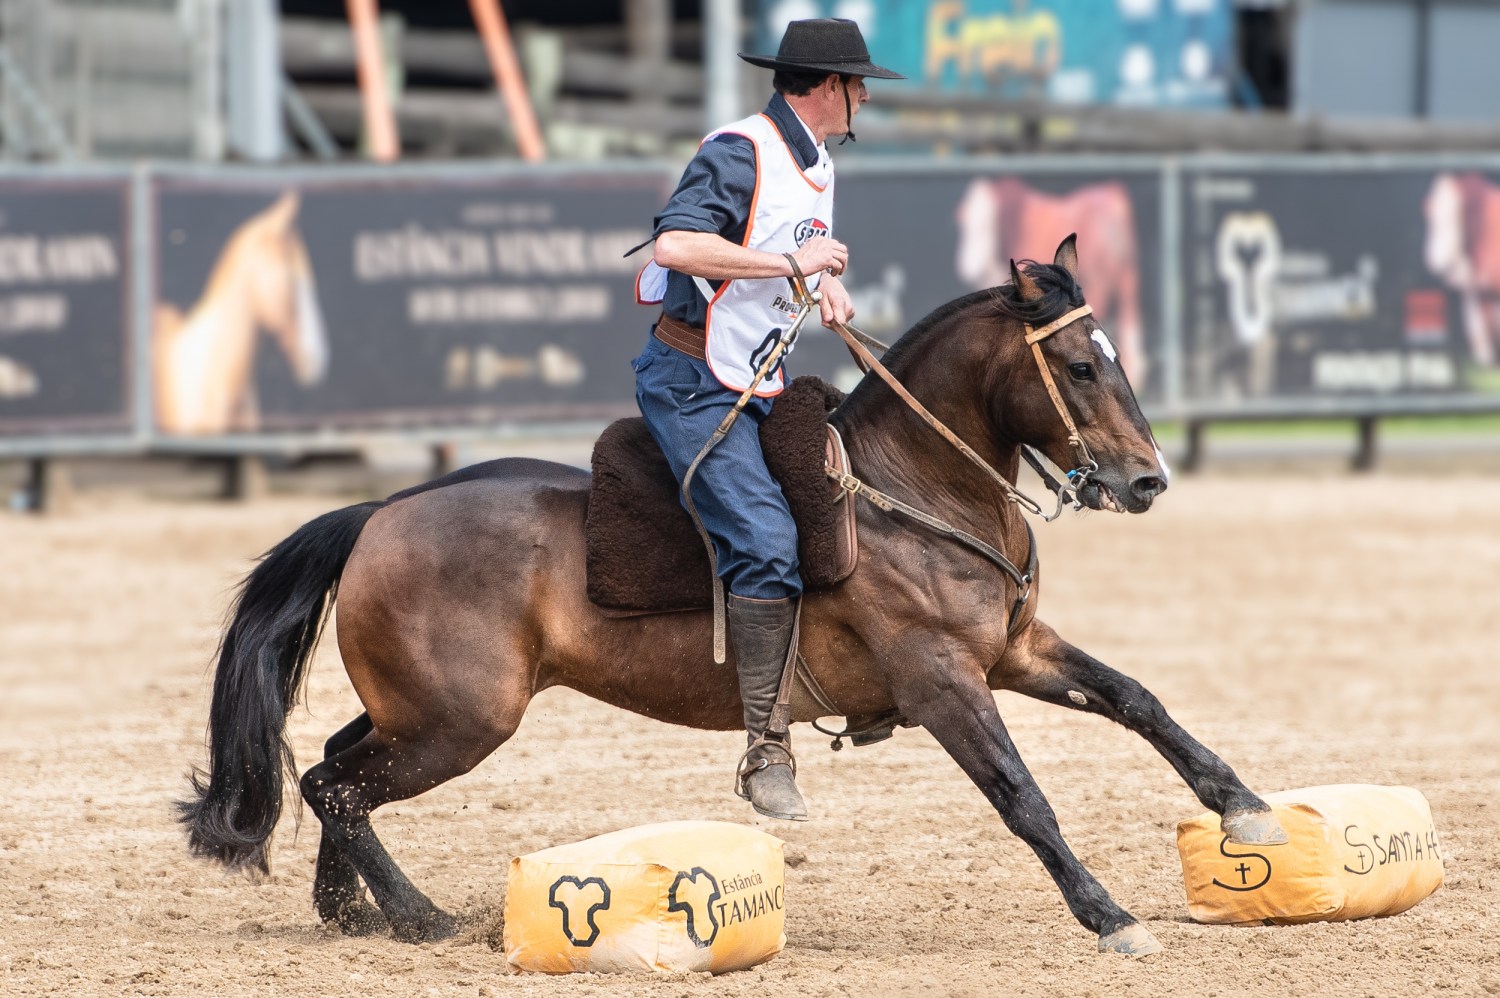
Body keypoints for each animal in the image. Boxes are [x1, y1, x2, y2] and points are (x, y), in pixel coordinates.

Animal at [172, 235, 1278, 960]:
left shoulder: (1014, 649)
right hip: (459, 721)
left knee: (328, 766)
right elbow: (1023, 795)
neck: (910, 490)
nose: (1146, 481)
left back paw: (349, 910)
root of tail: (383, 509)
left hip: (420, 708)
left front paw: (1248, 807)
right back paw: (415, 914)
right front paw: (1109, 914)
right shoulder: (942, 683)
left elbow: (1139, 700)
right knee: (335, 783)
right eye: (1084, 366)